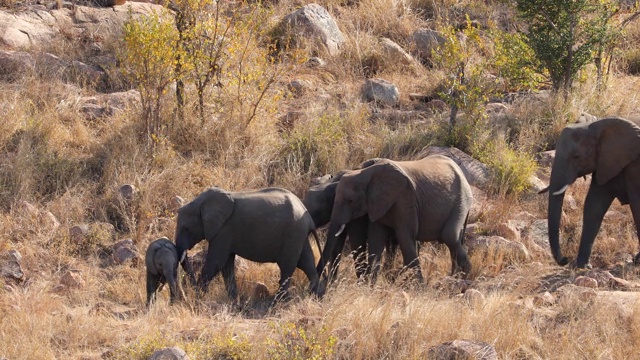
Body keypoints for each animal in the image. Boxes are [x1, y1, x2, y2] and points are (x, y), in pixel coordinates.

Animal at [175, 187, 324, 302]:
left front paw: (198, 297)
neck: (200, 202)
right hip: (299, 234)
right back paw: (315, 296)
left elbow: (216, 262)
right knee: (307, 262)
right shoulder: (225, 233)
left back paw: (279, 302)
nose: (188, 293)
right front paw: (234, 301)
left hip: (293, 233)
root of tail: (309, 218)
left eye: (186, 229)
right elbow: (226, 265)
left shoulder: (223, 230)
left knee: (287, 267)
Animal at [318, 155, 470, 284]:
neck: (365, 173)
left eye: (350, 201)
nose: (322, 281)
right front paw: (371, 287)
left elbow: (405, 236)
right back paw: (455, 277)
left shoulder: (404, 199)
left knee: (449, 235)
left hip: (461, 200)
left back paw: (463, 276)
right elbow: (376, 238)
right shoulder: (378, 205)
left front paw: (420, 287)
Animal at [544, 116, 640, 268]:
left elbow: (637, 204)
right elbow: (594, 205)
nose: (565, 259)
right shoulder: (606, 162)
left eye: (576, 156)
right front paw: (582, 266)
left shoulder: (635, 164)